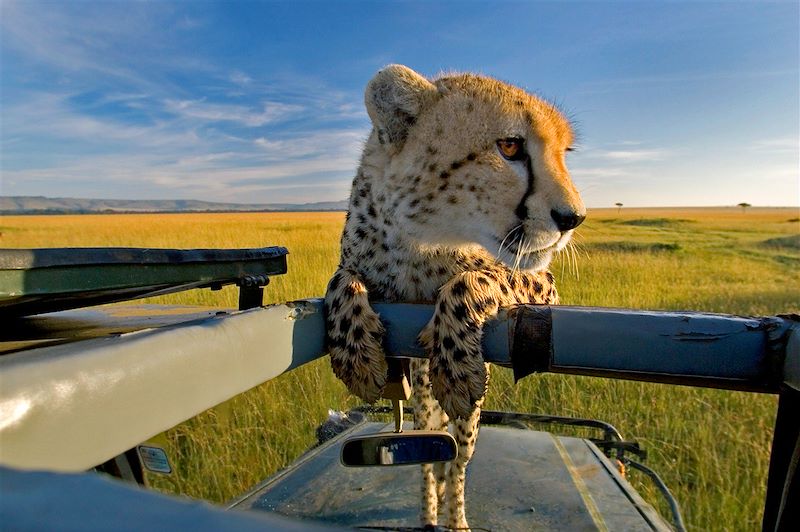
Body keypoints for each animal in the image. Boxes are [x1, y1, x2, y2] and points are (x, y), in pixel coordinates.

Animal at [322, 64, 584, 528]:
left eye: (563, 153)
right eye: (510, 146)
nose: (574, 217)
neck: (422, 241)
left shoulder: (542, 284)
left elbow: (474, 278)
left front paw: (456, 361)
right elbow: (341, 279)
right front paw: (355, 353)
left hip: (467, 421)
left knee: (457, 459)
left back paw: (455, 518)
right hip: (423, 404)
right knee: (429, 455)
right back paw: (428, 513)